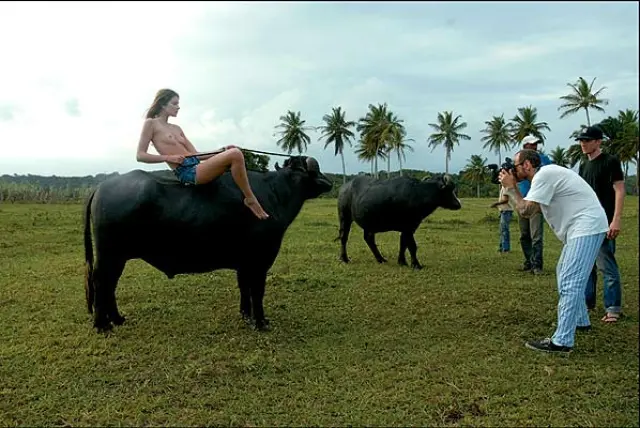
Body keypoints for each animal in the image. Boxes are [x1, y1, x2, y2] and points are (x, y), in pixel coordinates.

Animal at [83, 155, 333, 333]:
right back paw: (102, 325)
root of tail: (100, 188)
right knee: (101, 283)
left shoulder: (243, 263)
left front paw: (246, 314)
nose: (330, 182)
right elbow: (257, 290)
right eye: (316, 170)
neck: (274, 193)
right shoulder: (259, 262)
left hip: (117, 258)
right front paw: (261, 321)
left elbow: (244, 287)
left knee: (110, 285)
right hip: (109, 256)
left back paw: (117, 319)